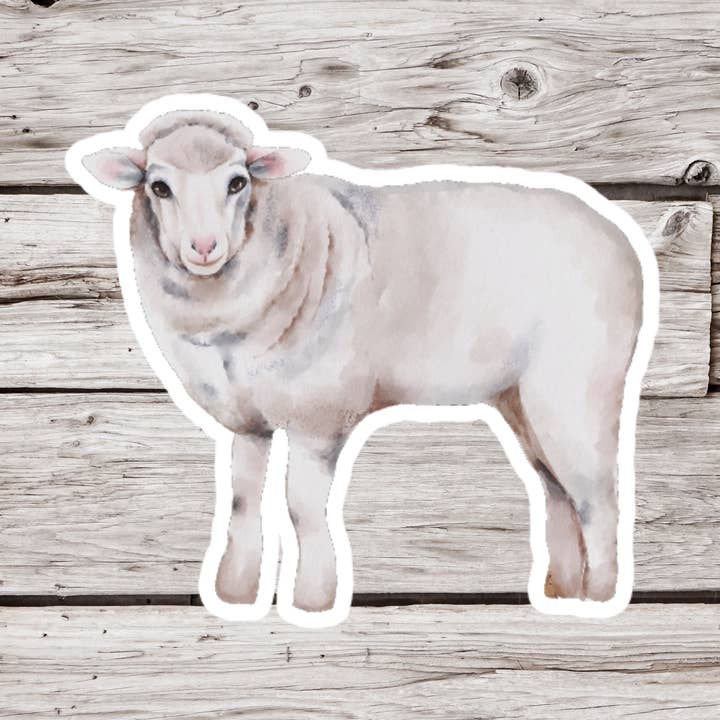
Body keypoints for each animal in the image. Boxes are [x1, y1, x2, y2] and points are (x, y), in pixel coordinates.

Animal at [70, 100, 657, 624]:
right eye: (159, 187)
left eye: (238, 183)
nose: (204, 247)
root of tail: (622, 240)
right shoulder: (248, 421)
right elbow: (241, 502)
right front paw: (235, 595)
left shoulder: (318, 414)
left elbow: (303, 508)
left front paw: (312, 601)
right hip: (523, 399)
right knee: (558, 492)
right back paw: (562, 593)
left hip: (578, 386)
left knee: (598, 497)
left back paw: (600, 599)